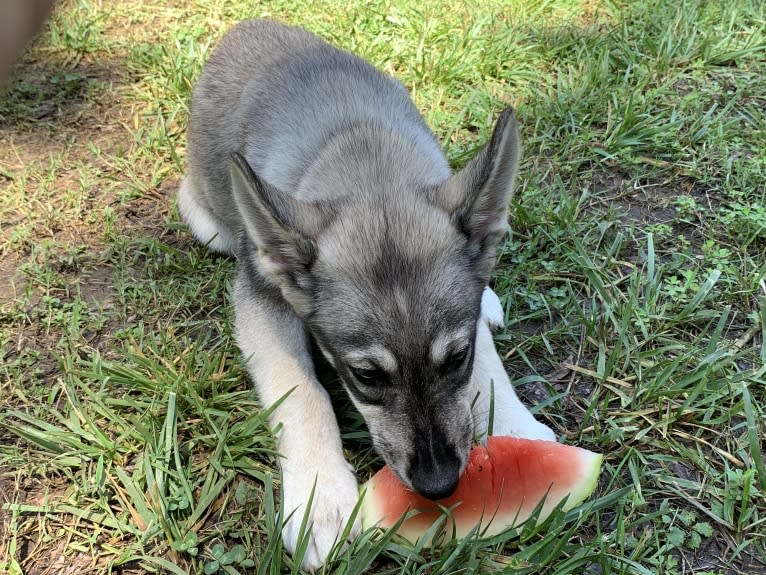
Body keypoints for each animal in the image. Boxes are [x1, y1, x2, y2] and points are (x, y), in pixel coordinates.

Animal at [177, 19, 556, 572]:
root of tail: (247, 25)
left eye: (455, 358)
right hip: (209, 222)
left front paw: (519, 431)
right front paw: (321, 499)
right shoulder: (259, 296)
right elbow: (301, 392)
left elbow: (488, 366)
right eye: (366, 377)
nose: (440, 485)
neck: (365, 161)